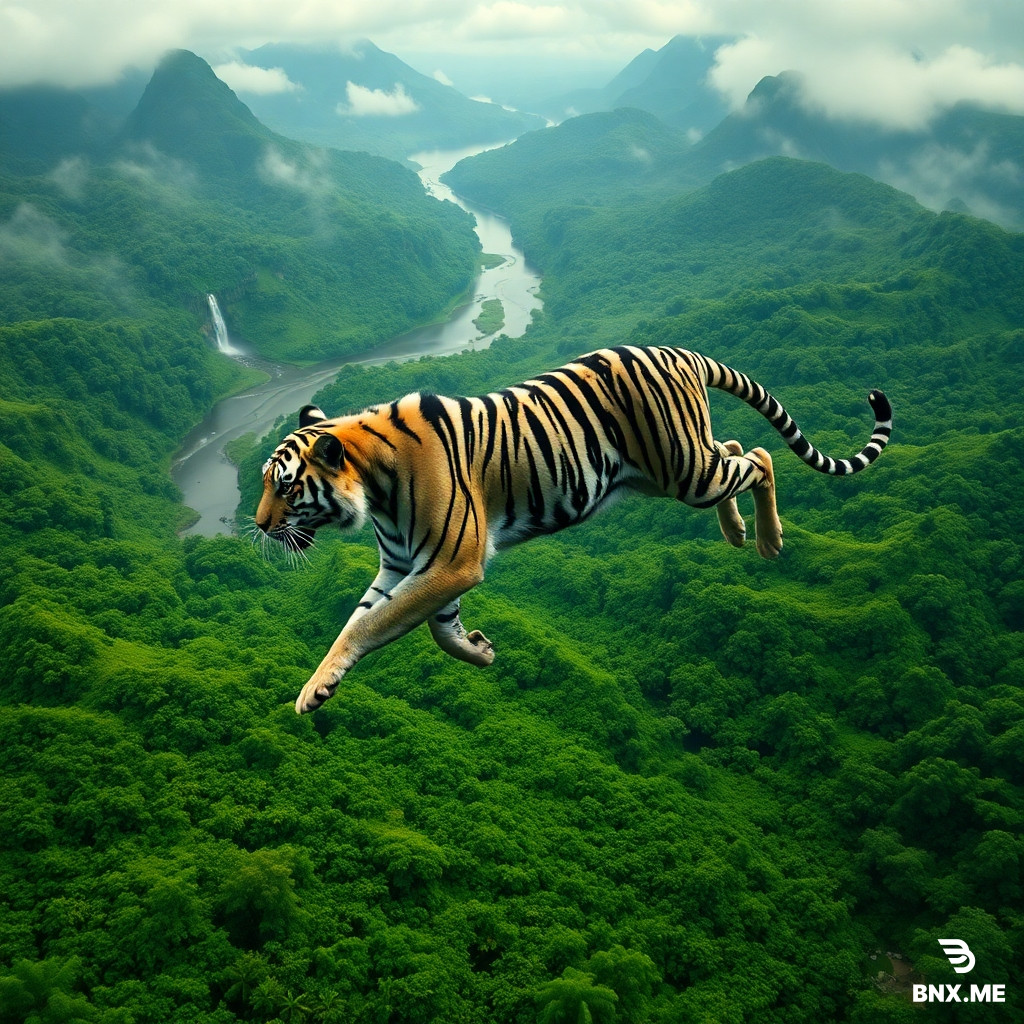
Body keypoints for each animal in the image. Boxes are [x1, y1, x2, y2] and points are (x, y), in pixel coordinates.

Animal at [255, 345, 892, 714]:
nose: (258, 526)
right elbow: (389, 625)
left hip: (685, 468)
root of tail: (678, 351)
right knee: (735, 445)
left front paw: (314, 693)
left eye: (284, 487)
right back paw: (736, 534)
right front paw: (479, 652)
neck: (375, 487)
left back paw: (765, 540)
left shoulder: (451, 562)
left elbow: (373, 625)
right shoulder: (405, 566)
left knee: (759, 456)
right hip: (667, 472)